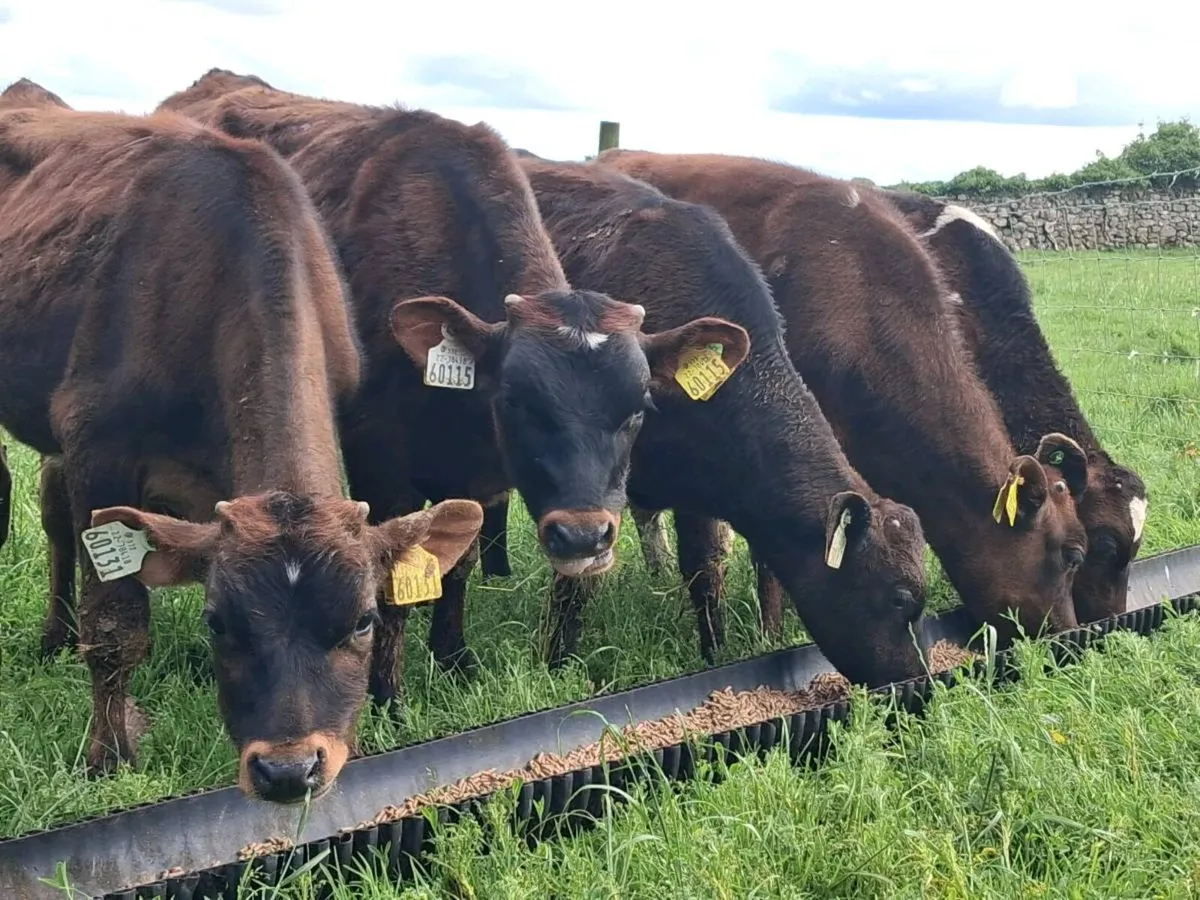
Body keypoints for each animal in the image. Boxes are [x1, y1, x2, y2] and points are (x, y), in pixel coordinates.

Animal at [0, 79, 484, 802]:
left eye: (362, 619)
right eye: (216, 621)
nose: (289, 769)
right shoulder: (95, 440)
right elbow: (115, 625)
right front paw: (107, 759)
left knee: (54, 510)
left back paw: (52, 637)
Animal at [156, 70, 747, 701]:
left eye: (639, 407)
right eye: (515, 402)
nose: (583, 538)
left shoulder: (479, 481)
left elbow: (455, 565)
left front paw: (453, 658)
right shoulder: (380, 465)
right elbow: (390, 584)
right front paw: (386, 695)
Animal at [485, 151, 933, 687]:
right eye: (899, 597)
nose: (920, 682)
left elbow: (708, 566)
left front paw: (722, 649)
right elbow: (583, 575)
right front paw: (556, 663)